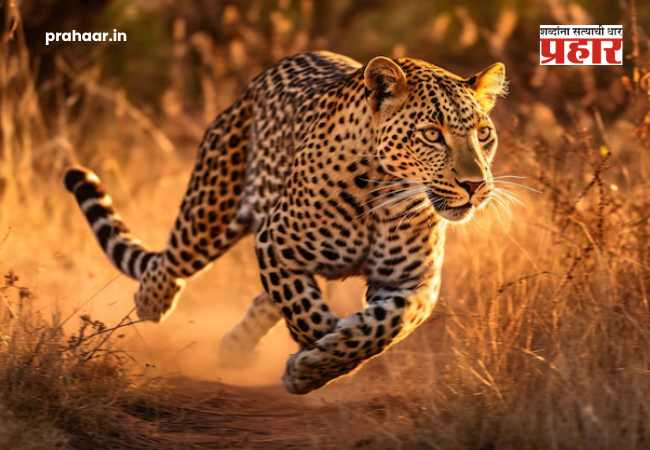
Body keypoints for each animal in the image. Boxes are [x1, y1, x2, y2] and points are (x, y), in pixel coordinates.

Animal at [64, 51, 506, 394]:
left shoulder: (413, 281)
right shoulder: (275, 244)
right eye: (432, 134)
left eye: (484, 133)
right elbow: (307, 311)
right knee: (169, 261)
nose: (474, 185)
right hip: (212, 210)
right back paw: (152, 302)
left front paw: (321, 359)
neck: (384, 197)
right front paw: (316, 357)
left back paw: (235, 347)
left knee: (263, 299)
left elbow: (387, 325)